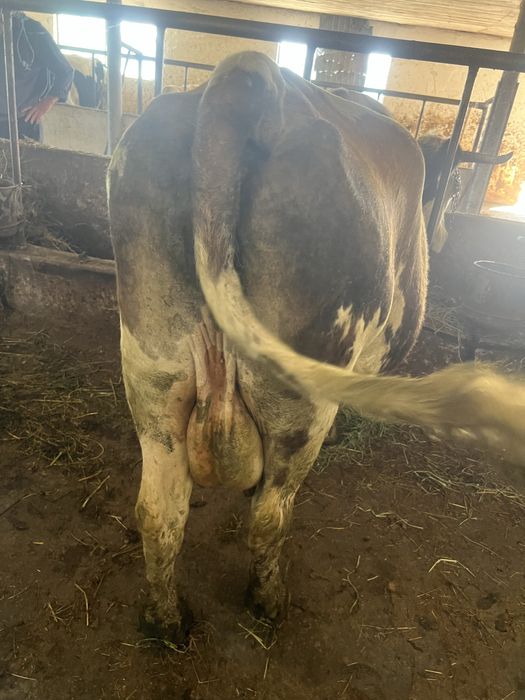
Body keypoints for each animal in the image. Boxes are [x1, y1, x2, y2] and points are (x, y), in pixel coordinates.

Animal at [108, 51, 525, 643]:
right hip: (299, 400)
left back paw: (166, 620)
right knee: (269, 514)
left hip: (153, 378)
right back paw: (268, 602)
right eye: (454, 183)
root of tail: (248, 80)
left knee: (160, 512)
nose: (443, 236)